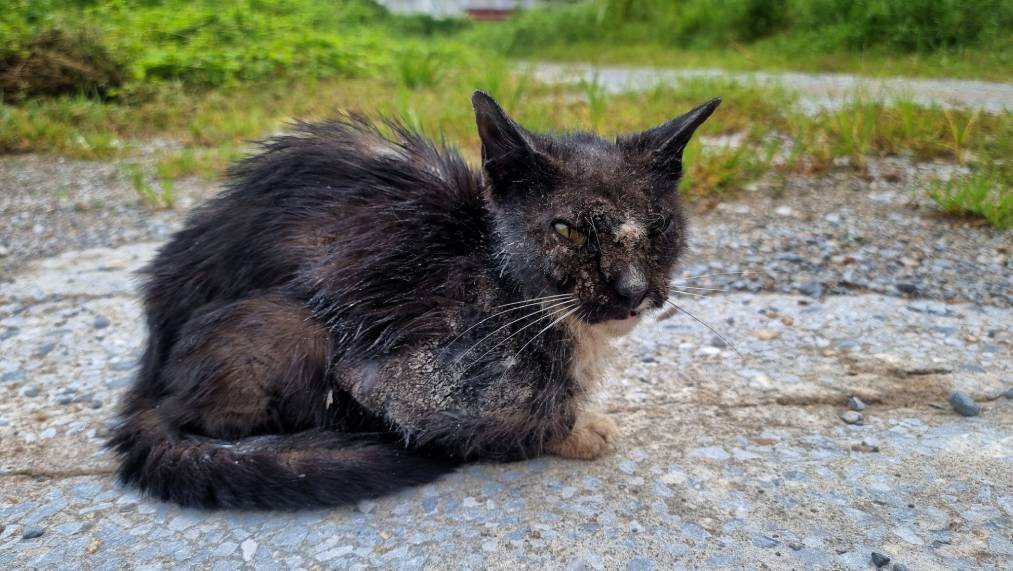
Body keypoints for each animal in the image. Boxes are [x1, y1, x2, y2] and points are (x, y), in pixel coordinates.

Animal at [108, 90, 721, 508]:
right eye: (568, 231)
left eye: (659, 226)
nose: (633, 290)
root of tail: (149, 361)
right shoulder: (390, 377)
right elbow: (509, 423)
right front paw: (580, 429)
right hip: (294, 326)